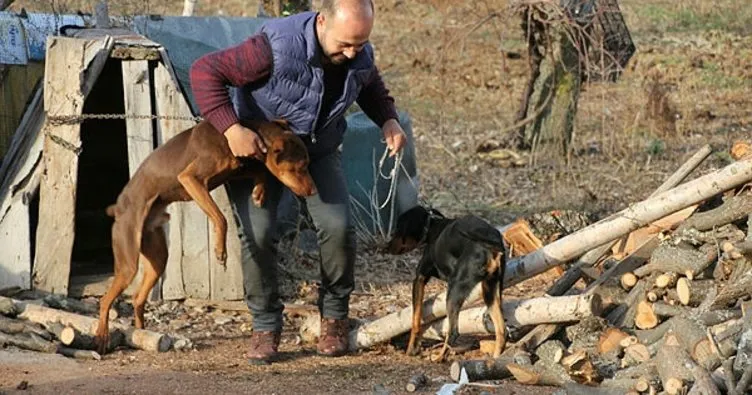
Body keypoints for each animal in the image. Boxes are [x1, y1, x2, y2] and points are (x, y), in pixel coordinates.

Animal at [95, 119, 316, 354]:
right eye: (300, 167)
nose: (313, 191)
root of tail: (118, 209)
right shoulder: (191, 179)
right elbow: (221, 217)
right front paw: (220, 251)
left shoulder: (233, 171)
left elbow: (260, 171)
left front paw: (258, 192)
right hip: (128, 260)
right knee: (106, 300)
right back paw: (102, 336)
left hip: (157, 257)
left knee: (138, 298)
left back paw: (142, 334)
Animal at [388, 206, 506, 364]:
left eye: (398, 229)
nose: (386, 247)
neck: (432, 225)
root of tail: (490, 243)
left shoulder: (419, 278)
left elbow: (416, 319)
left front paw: (411, 350)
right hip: (490, 290)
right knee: (501, 329)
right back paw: (495, 359)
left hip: (454, 291)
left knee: (453, 333)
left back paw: (438, 357)